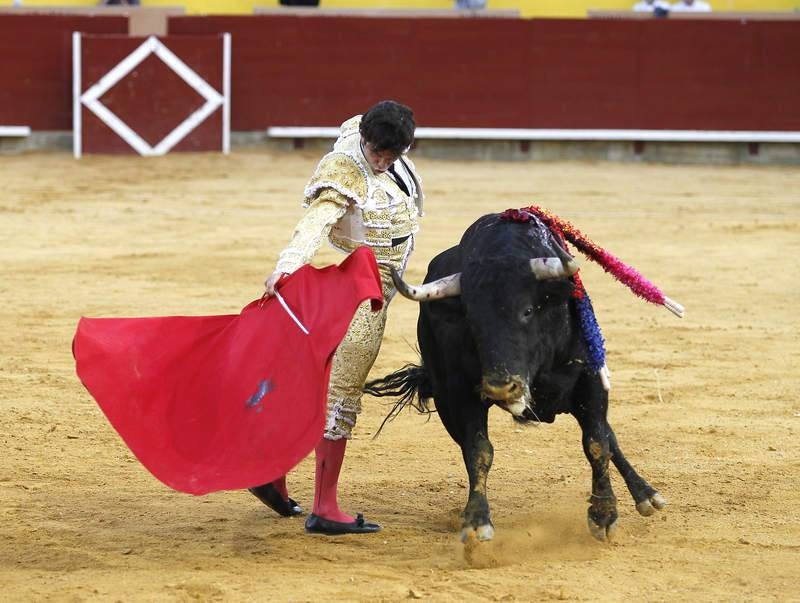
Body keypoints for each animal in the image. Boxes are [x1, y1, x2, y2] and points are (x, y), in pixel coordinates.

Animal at [368, 215, 668, 544]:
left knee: (606, 434)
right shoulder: (458, 395)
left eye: (527, 311)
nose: (501, 386)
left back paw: (646, 494)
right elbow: (478, 451)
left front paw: (604, 514)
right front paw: (476, 520)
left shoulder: (591, 381)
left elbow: (597, 443)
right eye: (472, 321)